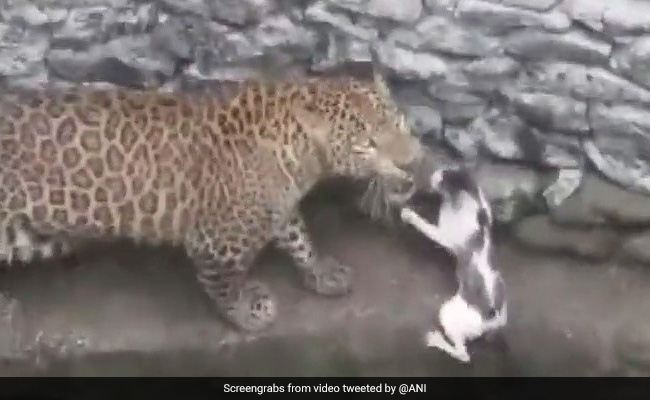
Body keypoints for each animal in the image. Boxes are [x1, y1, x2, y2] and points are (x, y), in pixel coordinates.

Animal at [0, 70, 424, 332]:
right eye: (368, 144)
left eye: (399, 122)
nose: (412, 163)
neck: (302, 153)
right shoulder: (217, 241)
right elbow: (223, 282)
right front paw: (247, 312)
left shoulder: (276, 205)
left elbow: (297, 233)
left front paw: (319, 270)